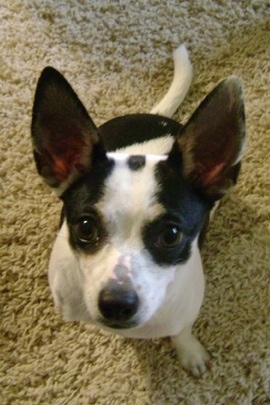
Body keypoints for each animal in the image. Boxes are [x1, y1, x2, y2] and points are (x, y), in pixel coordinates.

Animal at [31, 45, 245, 378]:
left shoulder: (185, 311)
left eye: (171, 235)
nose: (117, 303)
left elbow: (181, 331)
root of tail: (158, 118)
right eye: (85, 228)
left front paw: (189, 351)